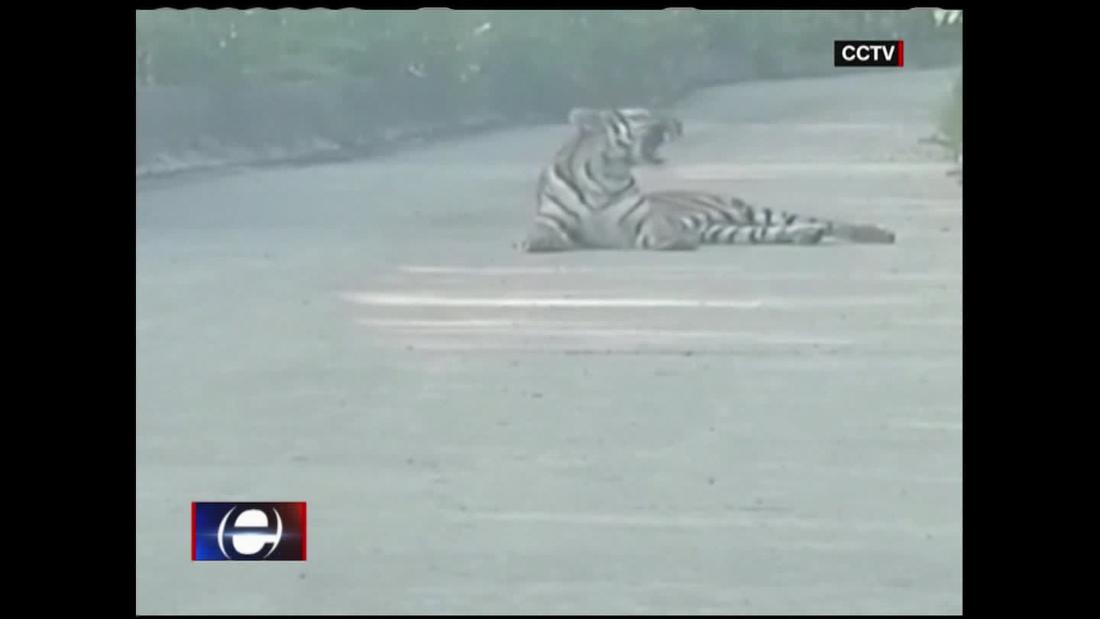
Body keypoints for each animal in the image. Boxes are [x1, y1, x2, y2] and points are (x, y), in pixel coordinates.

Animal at [521, 106, 893, 251]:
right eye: (641, 114)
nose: (678, 122)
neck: (606, 177)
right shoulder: (550, 219)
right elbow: (542, 232)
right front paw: (538, 243)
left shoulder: (646, 224)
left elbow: (661, 231)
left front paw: (676, 239)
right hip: (729, 229)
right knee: (776, 231)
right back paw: (805, 236)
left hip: (751, 212)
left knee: (827, 222)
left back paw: (875, 233)